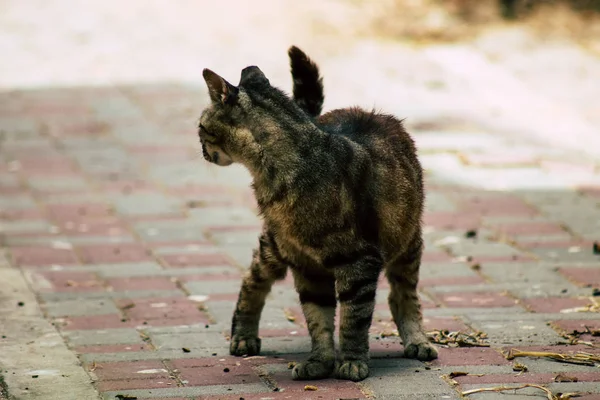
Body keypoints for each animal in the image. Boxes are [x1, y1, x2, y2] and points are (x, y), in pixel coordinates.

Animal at [197, 46, 436, 382]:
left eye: (200, 127)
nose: (201, 149)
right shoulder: (306, 266)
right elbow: (318, 320)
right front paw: (320, 362)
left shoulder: (359, 261)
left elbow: (352, 320)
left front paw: (351, 361)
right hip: (276, 247)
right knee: (251, 279)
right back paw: (243, 335)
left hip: (407, 242)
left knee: (403, 295)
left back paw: (418, 340)